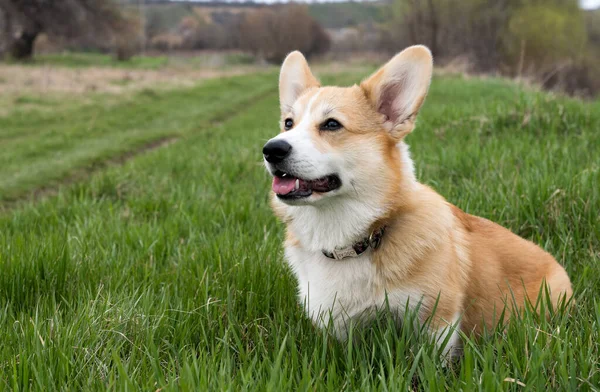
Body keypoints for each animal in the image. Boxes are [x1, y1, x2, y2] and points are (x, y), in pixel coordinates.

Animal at [262, 46, 572, 356]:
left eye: (331, 124)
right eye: (288, 124)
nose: (271, 149)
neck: (356, 241)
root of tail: (558, 268)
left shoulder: (437, 319)